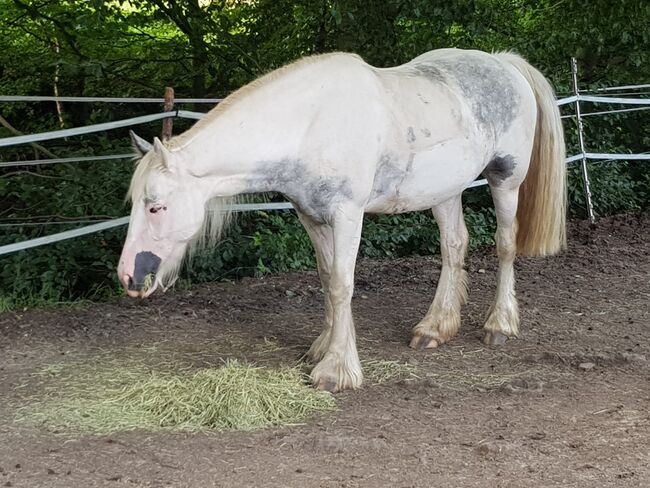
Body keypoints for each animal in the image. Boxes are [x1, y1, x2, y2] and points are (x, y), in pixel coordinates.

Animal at [119, 48, 564, 392]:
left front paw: (336, 370)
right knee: (454, 245)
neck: (308, 124)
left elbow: (342, 283)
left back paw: (499, 325)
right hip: (445, 191)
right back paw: (434, 328)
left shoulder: (347, 215)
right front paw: (326, 347)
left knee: (505, 246)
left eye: (156, 206)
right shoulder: (312, 216)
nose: (128, 278)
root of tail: (503, 62)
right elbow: (327, 277)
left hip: (505, 180)